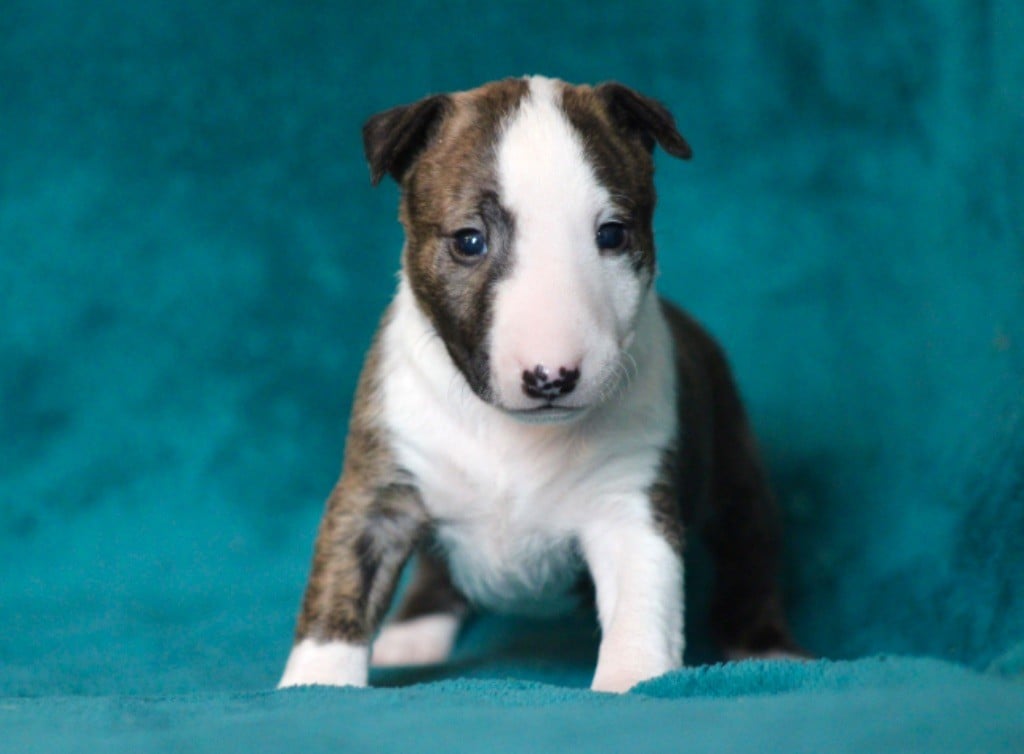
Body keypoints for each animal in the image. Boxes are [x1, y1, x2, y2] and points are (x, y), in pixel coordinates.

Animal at [280, 73, 798, 692]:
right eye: (469, 241)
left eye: (612, 235)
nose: (551, 375)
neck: (513, 436)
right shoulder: (376, 488)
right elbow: (340, 586)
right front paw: (317, 682)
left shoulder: (629, 504)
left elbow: (642, 605)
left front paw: (632, 680)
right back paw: (412, 637)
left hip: (737, 472)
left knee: (750, 557)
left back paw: (767, 649)